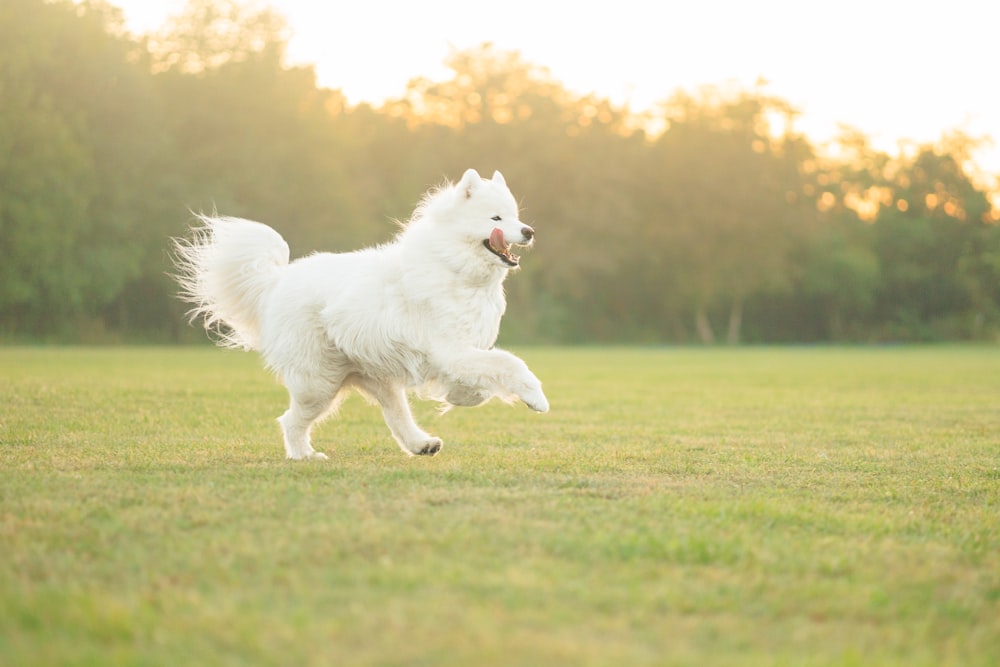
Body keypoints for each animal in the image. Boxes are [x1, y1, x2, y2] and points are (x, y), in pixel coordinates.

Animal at [172, 170, 548, 460]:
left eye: (515, 216)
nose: (529, 231)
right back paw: (304, 455)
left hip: (377, 379)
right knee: (290, 421)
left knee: (397, 418)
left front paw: (460, 396)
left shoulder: (460, 352)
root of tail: (276, 282)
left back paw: (421, 444)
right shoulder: (451, 350)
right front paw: (536, 398)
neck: (452, 265)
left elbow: (483, 379)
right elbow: (511, 363)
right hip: (318, 385)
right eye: (495, 219)